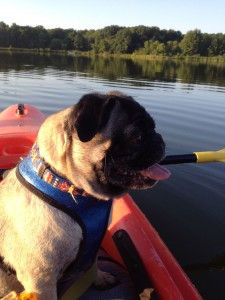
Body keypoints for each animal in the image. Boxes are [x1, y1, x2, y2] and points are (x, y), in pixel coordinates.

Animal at [0, 92, 170, 298]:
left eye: (153, 128)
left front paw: (100, 278)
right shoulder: (41, 282)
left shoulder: (92, 248)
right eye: (137, 137)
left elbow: (92, 266)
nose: (160, 139)